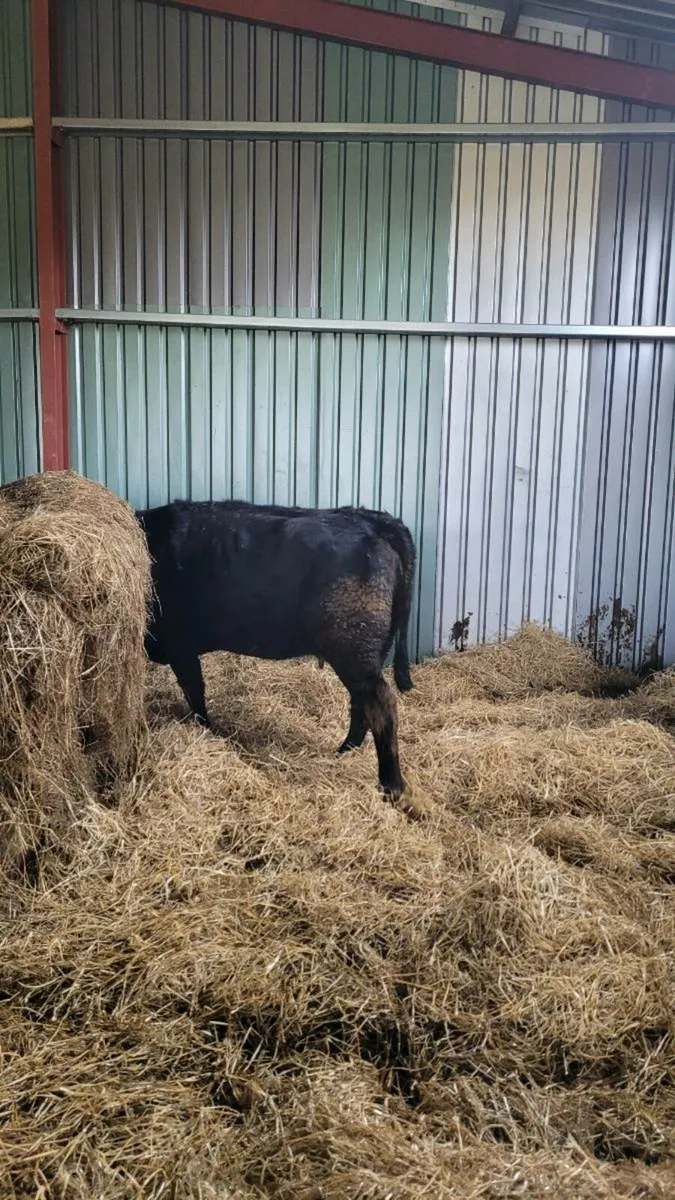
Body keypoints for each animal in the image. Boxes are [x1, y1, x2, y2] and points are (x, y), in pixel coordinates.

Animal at [136, 500, 416, 801]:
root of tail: (371, 519)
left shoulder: (181, 647)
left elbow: (195, 693)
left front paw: (206, 730)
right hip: (364, 653)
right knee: (361, 702)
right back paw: (344, 751)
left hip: (353, 648)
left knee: (380, 702)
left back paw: (391, 786)